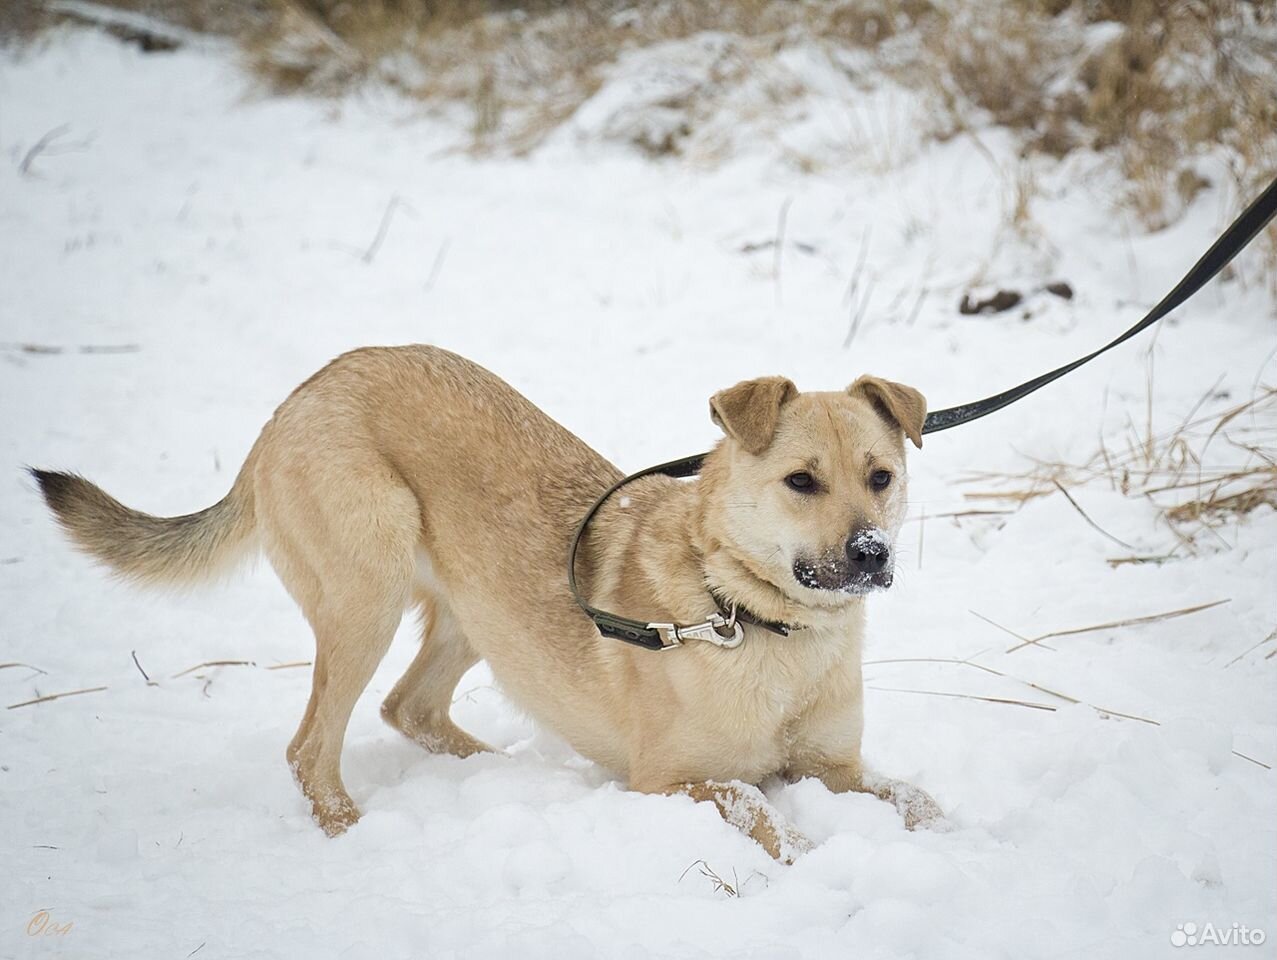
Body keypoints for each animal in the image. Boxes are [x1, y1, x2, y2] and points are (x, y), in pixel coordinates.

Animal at [34, 347, 944, 862]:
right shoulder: (669, 782)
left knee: (410, 707)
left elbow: (918, 800)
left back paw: (507, 773)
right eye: (800, 482)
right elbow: (757, 808)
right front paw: (812, 856)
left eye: (880, 476)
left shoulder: (833, 767)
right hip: (368, 590)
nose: (869, 555)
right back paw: (349, 831)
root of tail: (303, 391)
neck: (757, 619)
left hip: (479, 613)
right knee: (310, 748)